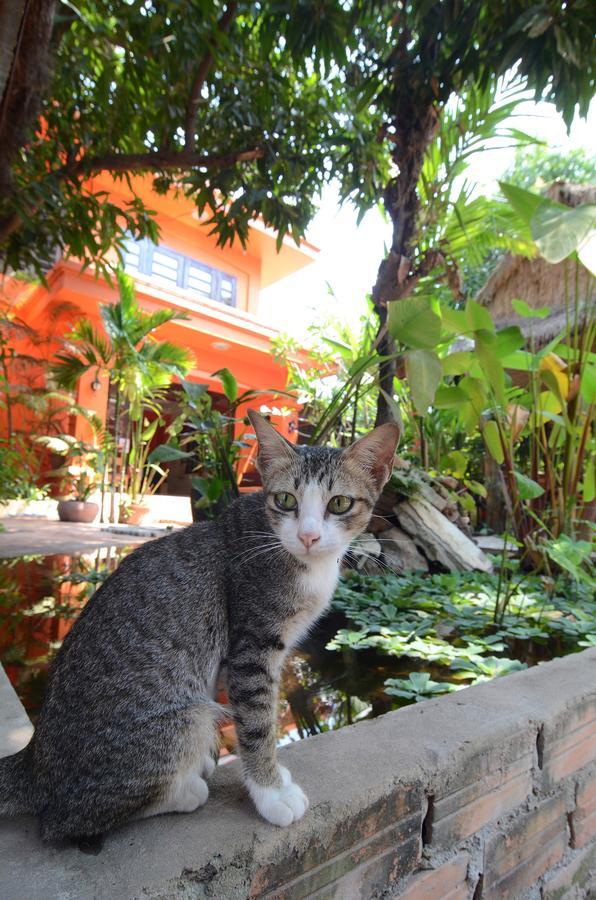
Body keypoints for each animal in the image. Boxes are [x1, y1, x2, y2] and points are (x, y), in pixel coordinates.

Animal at [1, 412, 400, 840]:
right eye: (286, 500)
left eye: (340, 503)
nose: (308, 536)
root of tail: (35, 763)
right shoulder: (252, 648)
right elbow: (257, 724)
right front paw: (271, 791)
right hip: (189, 717)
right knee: (65, 823)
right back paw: (186, 789)